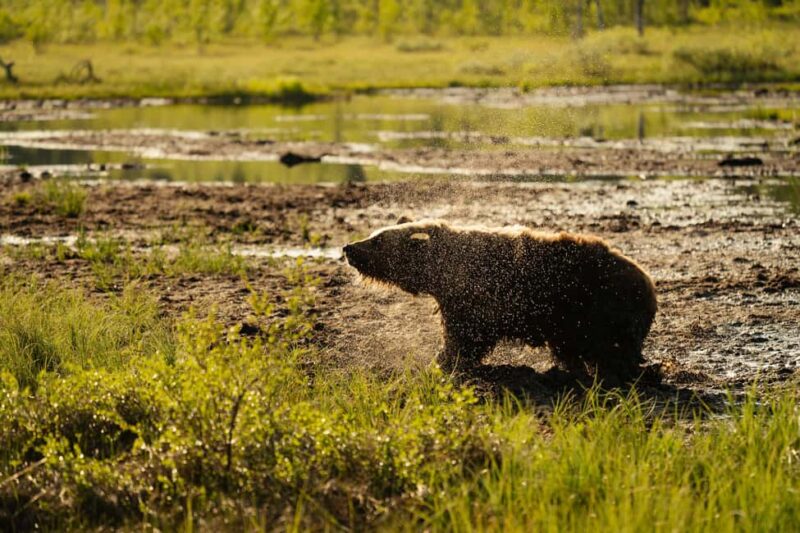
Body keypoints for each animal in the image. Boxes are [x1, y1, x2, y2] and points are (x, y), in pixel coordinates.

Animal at [343, 219, 657, 385]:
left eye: (377, 240)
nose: (348, 247)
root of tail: (649, 281)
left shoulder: (474, 299)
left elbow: (466, 337)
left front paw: (444, 360)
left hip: (596, 306)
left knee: (609, 349)